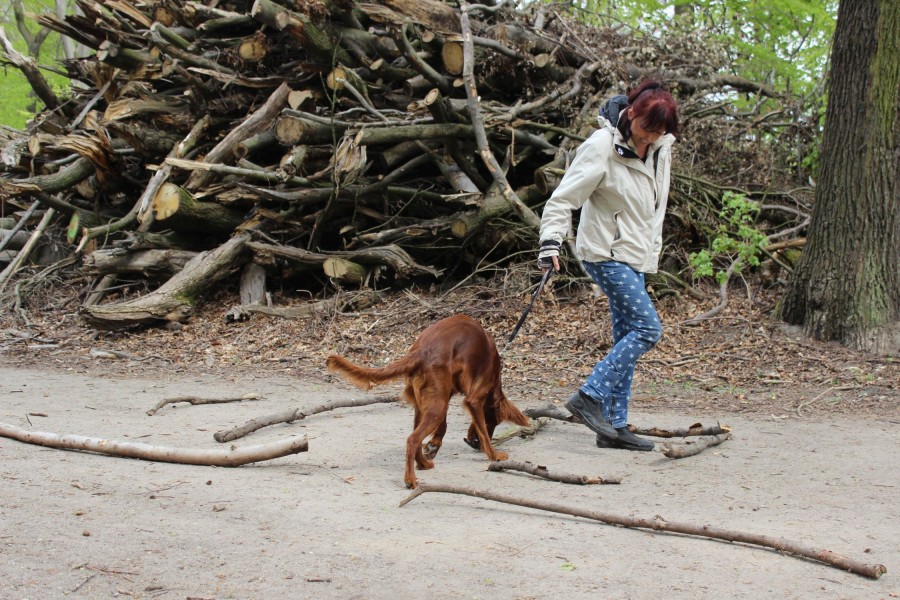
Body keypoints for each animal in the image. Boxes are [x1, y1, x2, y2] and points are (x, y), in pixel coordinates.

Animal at [326, 314, 531, 489]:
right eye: (493, 422)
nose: (474, 444)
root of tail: (420, 351)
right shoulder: (474, 399)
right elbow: (483, 433)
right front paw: (495, 456)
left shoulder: (446, 394)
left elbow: (444, 426)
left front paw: (433, 446)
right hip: (437, 405)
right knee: (412, 439)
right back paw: (410, 479)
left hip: (427, 404)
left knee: (417, 437)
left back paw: (424, 463)